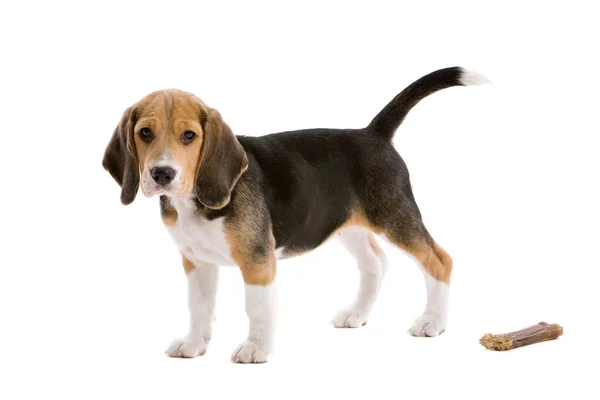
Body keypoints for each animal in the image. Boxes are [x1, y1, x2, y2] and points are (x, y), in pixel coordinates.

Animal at [103, 66, 488, 362]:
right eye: (144, 133)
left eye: (189, 136)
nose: (162, 174)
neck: (193, 201)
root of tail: (372, 134)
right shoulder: (196, 261)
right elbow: (198, 307)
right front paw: (194, 344)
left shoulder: (257, 262)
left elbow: (256, 308)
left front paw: (255, 348)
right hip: (346, 224)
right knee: (376, 262)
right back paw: (357, 313)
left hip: (395, 216)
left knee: (439, 259)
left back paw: (433, 321)